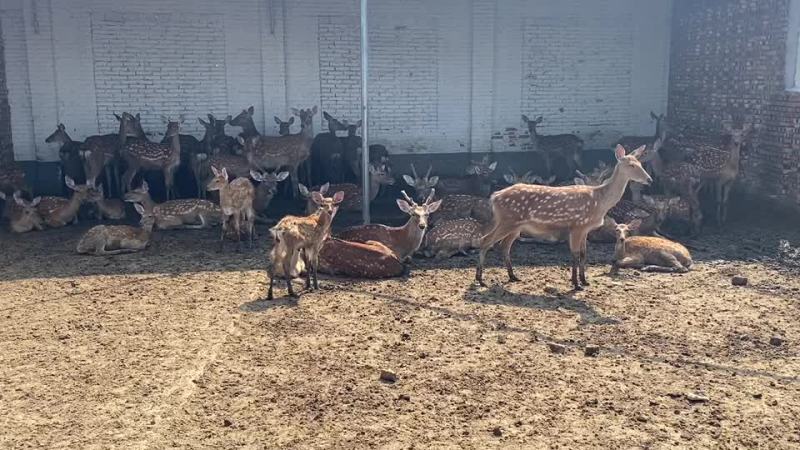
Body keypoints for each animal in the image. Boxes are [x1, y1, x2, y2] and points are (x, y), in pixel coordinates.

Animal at [475, 144, 652, 290]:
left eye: (641, 164)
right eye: (631, 165)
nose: (649, 179)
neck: (599, 201)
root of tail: (494, 197)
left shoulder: (585, 229)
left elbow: (584, 253)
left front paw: (585, 281)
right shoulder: (577, 225)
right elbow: (575, 254)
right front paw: (576, 284)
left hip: (515, 225)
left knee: (504, 246)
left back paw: (512, 276)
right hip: (508, 220)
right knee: (485, 240)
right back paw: (480, 279)